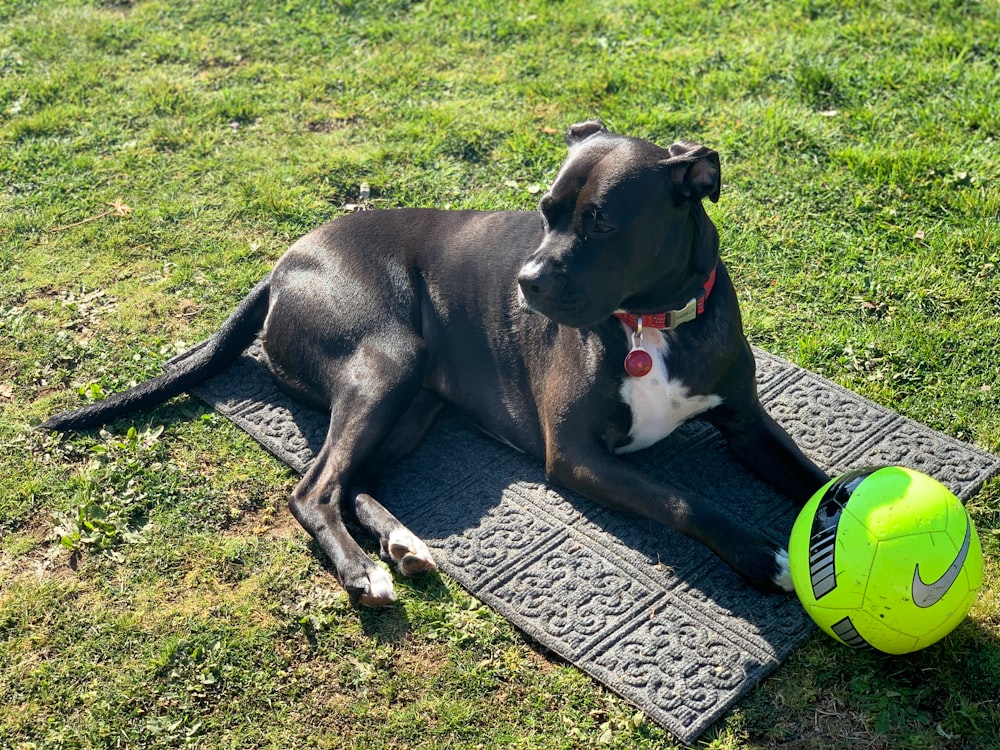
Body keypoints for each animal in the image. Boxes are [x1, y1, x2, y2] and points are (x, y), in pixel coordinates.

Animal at [45, 122, 828, 604]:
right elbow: (683, 499)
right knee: (313, 488)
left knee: (352, 480)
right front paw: (762, 555)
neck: (654, 323)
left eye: (604, 220)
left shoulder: (749, 426)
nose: (526, 283)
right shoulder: (575, 457)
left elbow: (824, 480)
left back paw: (400, 541)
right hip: (385, 363)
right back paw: (364, 571)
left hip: (413, 400)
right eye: (544, 210)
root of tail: (282, 264)